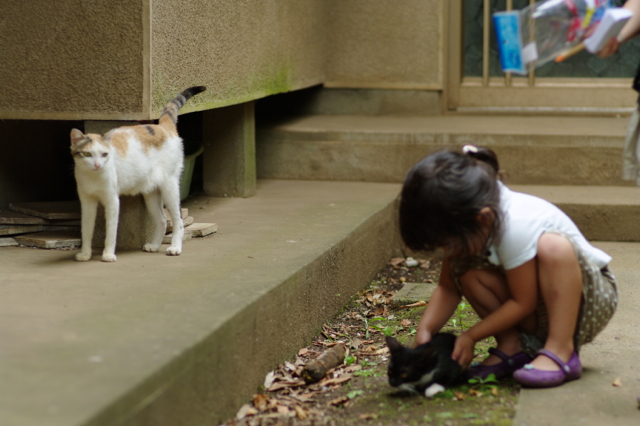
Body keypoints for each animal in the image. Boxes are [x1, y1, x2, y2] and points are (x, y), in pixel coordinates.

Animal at [70, 86, 206, 262]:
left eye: (104, 154)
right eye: (87, 154)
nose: (98, 165)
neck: (93, 176)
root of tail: (162, 127)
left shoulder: (112, 201)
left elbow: (111, 232)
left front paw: (108, 254)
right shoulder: (87, 202)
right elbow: (86, 230)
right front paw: (85, 254)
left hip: (170, 187)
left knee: (178, 221)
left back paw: (175, 247)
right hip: (151, 193)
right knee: (162, 220)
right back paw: (154, 246)